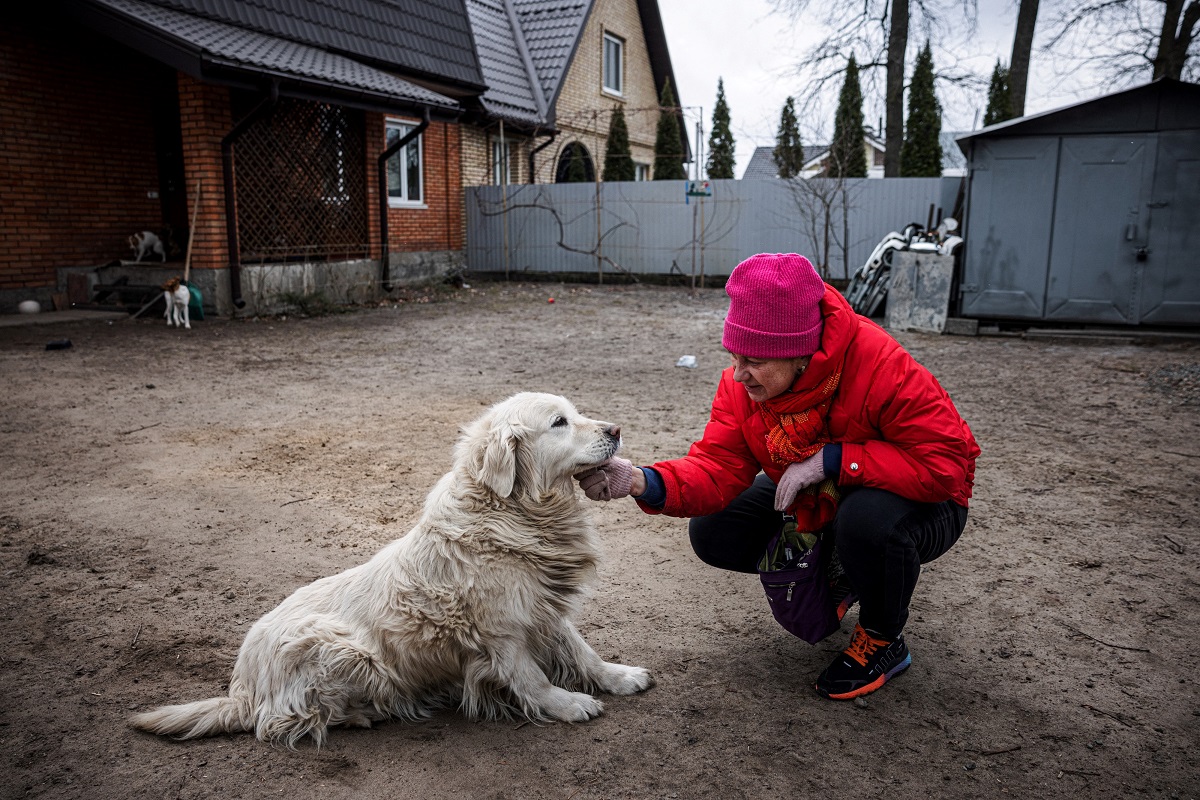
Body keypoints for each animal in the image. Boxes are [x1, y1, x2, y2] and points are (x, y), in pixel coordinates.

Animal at [127, 395, 652, 753]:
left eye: (575, 411)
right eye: (559, 422)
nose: (617, 429)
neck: (515, 514)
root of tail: (242, 687)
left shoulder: (544, 607)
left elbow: (583, 651)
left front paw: (619, 677)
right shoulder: (502, 631)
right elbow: (533, 679)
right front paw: (569, 705)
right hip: (338, 646)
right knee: (278, 723)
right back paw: (360, 715)